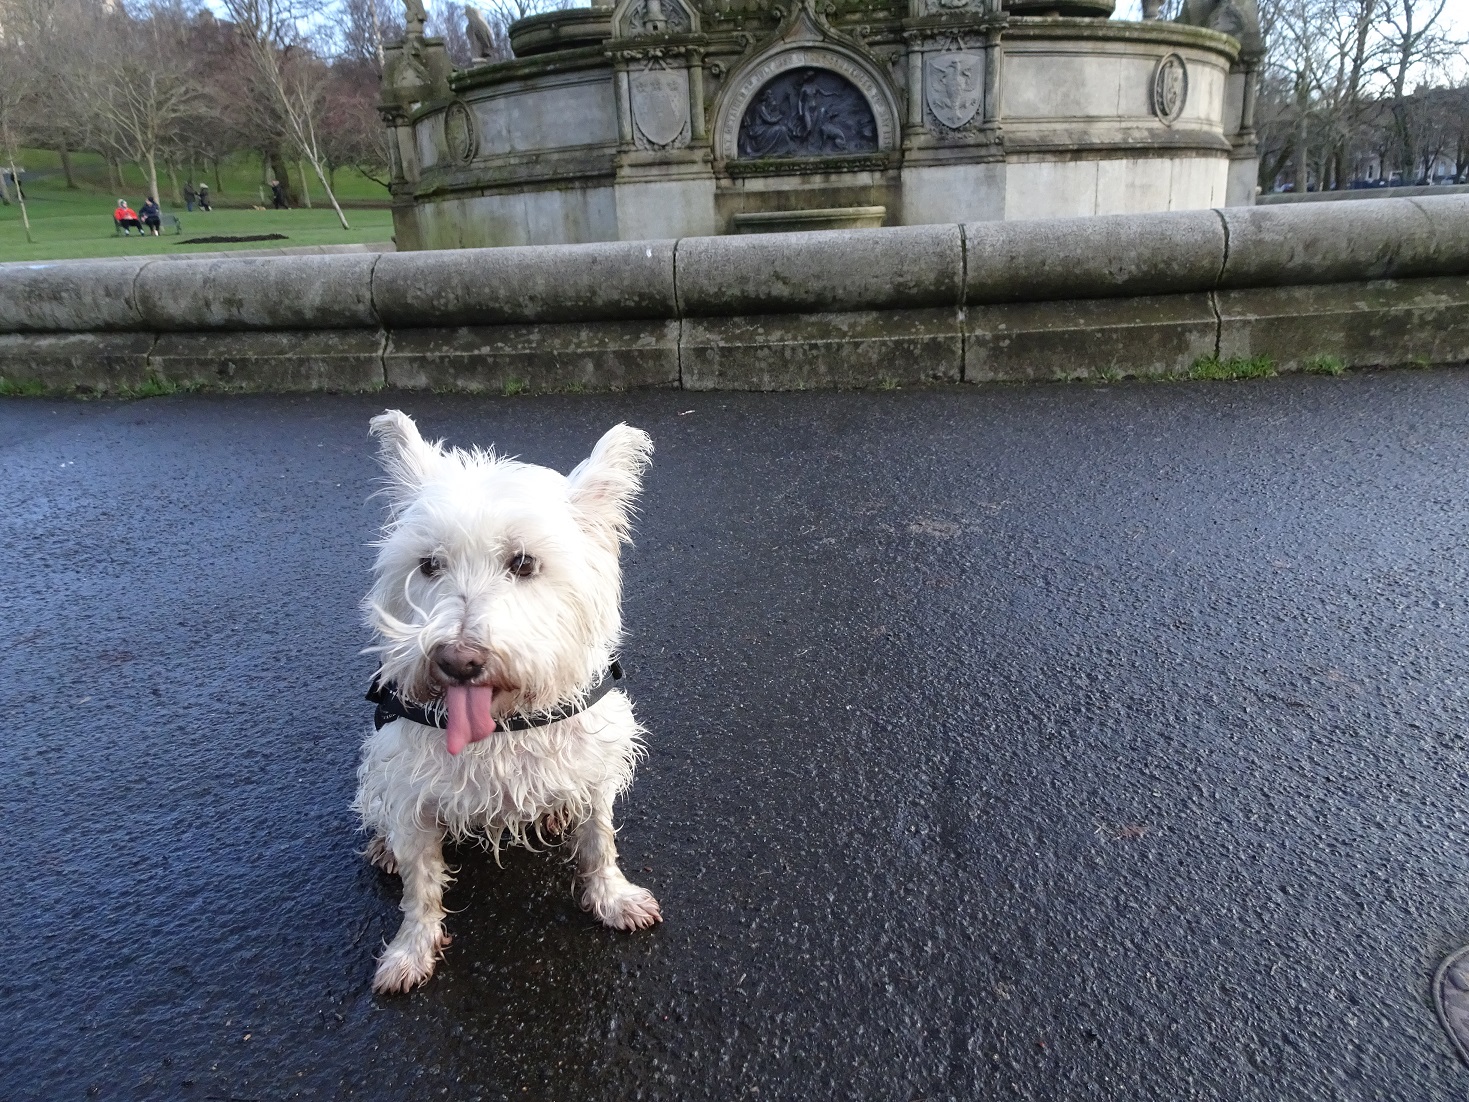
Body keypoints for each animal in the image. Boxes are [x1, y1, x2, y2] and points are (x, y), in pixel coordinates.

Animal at [354, 411, 661, 999]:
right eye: (429, 564)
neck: (502, 725)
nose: (457, 660)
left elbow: (600, 840)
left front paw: (613, 899)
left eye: (523, 563)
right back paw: (382, 847)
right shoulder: (409, 788)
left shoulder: (596, 766)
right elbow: (420, 884)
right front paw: (410, 952)